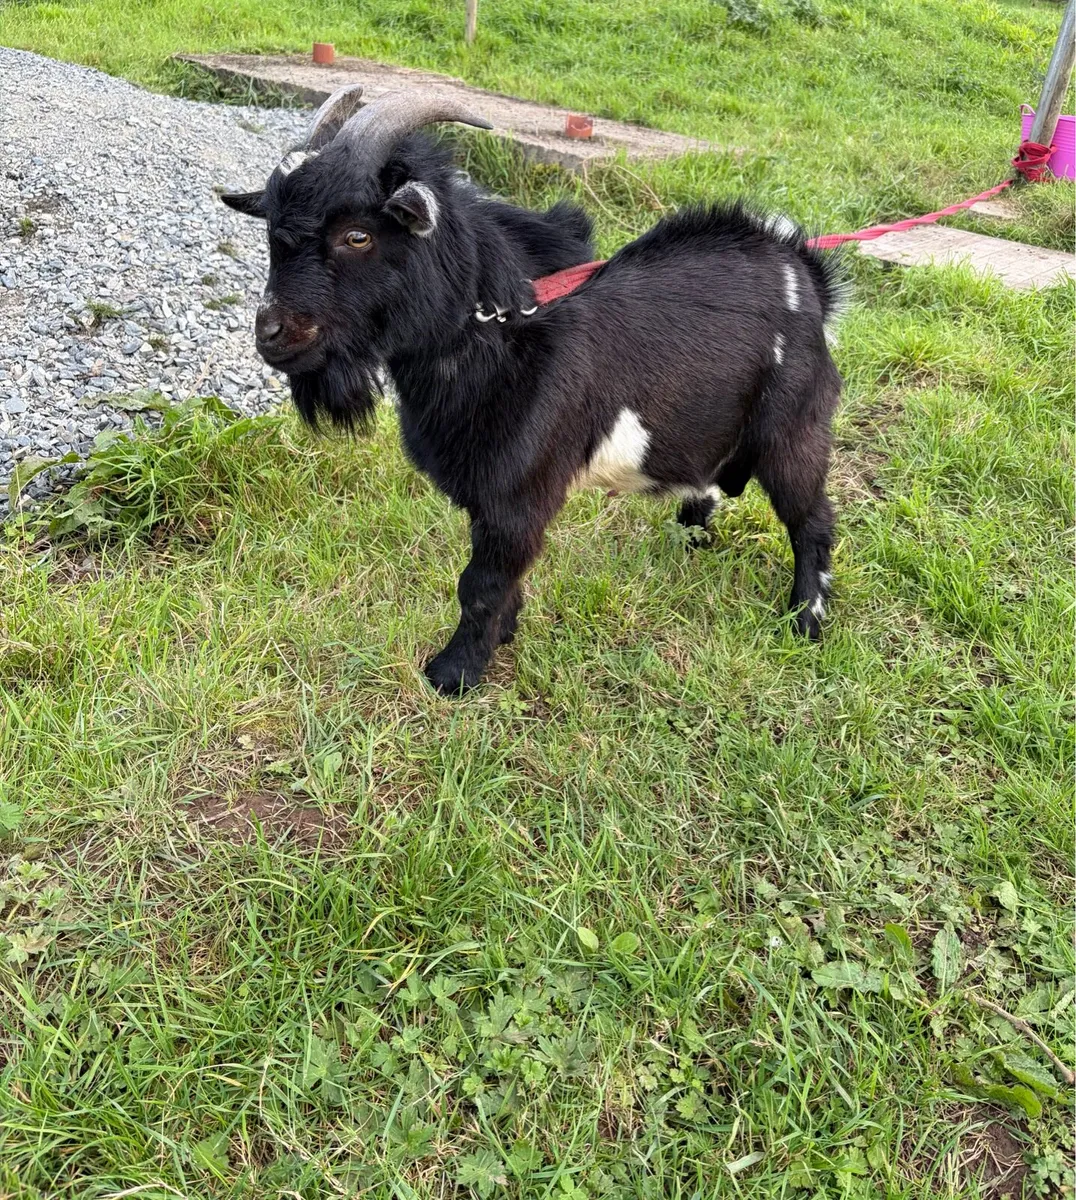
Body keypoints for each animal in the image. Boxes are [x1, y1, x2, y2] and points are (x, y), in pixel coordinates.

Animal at [223, 85, 844, 695]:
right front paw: (504, 637)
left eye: (357, 234)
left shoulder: (518, 492)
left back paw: (806, 620)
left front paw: (454, 674)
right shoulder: (488, 496)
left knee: (812, 519)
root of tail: (805, 277)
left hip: (794, 429)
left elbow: (480, 584)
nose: (272, 333)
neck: (500, 325)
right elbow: (503, 580)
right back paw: (688, 542)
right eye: (273, 230)